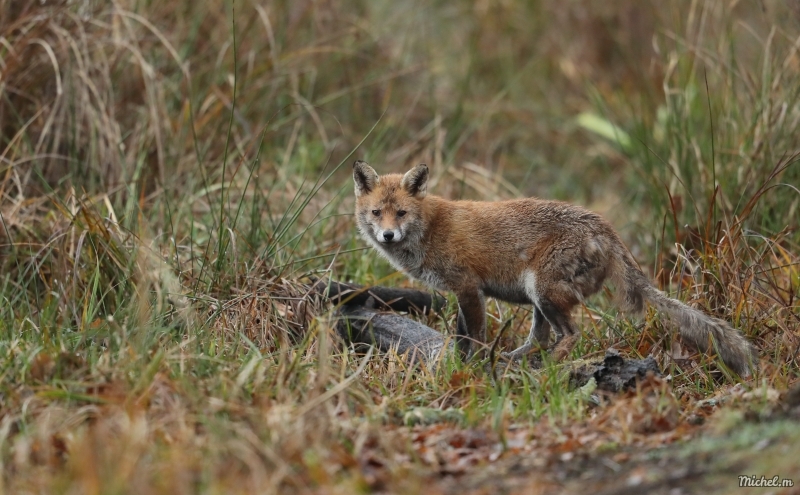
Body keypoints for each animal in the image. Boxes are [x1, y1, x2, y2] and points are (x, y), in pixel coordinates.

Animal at [354, 162, 756, 376]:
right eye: (376, 213)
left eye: (401, 213)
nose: (387, 235)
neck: (431, 229)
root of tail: (605, 228)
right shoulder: (460, 294)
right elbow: (461, 336)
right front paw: (459, 363)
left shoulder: (469, 287)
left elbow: (475, 338)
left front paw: (472, 369)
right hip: (538, 299)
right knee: (540, 338)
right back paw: (518, 361)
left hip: (543, 290)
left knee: (570, 335)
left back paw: (549, 368)